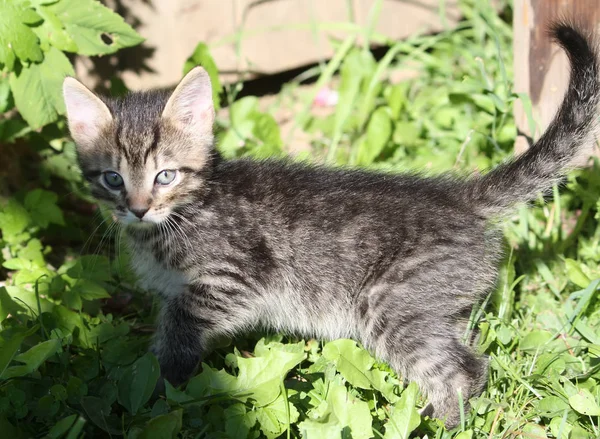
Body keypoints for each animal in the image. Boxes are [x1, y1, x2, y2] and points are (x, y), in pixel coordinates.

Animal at [62, 22, 600, 428]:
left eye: (165, 175)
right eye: (112, 179)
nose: (137, 208)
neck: (182, 214)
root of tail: (456, 196)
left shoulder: (231, 280)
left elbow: (177, 328)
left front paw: (163, 383)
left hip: (389, 305)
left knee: (462, 369)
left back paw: (437, 424)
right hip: (439, 306)